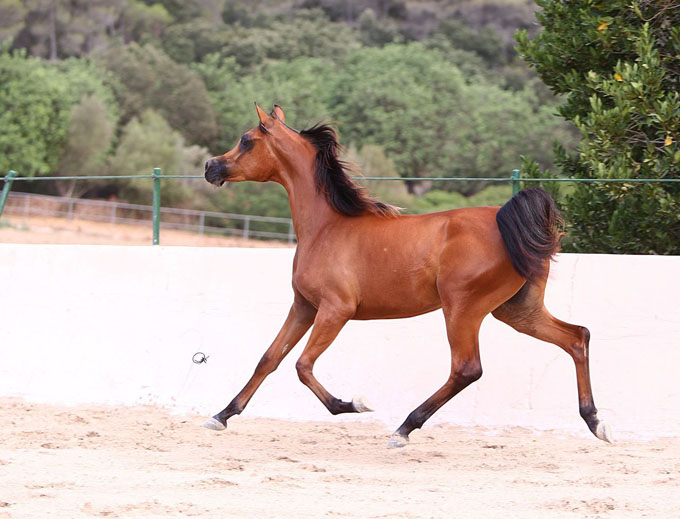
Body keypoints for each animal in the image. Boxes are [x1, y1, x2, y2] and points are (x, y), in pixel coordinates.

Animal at [202, 104, 612, 446]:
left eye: (246, 140)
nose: (210, 167)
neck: (326, 227)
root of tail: (506, 221)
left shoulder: (335, 310)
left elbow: (302, 366)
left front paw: (353, 404)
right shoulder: (303, 306)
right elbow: (269, 358)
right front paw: (221, 416)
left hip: (463, 309)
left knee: (467, 369)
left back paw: (404, 428)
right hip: (516, 310)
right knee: (577, 337)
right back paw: (596, 423)